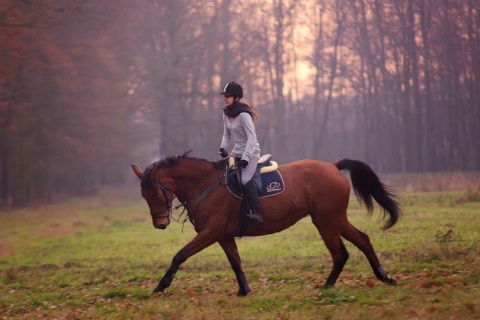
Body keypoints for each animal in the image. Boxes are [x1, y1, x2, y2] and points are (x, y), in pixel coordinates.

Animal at [131, 151, 402, 296]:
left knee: (340, 253)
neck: (206, 185)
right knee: (363, 240)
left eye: (155, 192)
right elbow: (235, 262)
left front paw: (160, 286)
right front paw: (244, 290)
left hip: (326, 222)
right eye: (143, 195)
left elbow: (180, 255)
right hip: (336, 219)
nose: (160, 224)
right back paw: (384, 276)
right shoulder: (223, 235)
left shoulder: (210, 232)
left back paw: (327, 285)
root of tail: (332, 166)